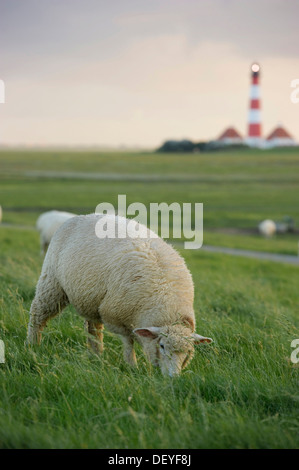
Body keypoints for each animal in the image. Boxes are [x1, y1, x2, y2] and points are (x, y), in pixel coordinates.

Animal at [27, 215, 213, 376]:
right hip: (52, 282)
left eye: (188, 351)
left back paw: (96, 355)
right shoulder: (116, 316)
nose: (173, 377)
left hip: (91, 299)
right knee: (37, 314)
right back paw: (32, 344)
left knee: (93, 329)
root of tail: (81, 216)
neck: (166, 299)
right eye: (161, 346)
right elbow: (128, 341)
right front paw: (132, 365)